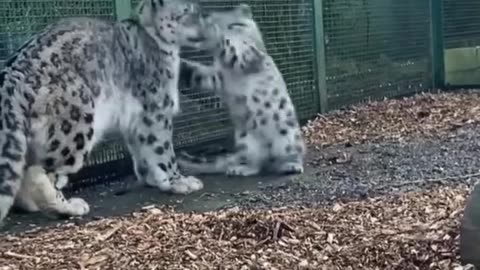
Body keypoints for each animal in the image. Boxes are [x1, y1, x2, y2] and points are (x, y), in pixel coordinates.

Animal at [0, 0, 218, 224]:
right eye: (187, 12)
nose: (208, 28)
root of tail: (12, 75)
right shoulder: (156, 110)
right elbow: (162, 148)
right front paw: (177, 181)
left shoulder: (136, 121)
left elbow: (142, 150)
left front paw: (150, 177)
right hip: (75, 126)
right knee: (41, 171)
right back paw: (69, 207)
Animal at [175, 4, 304, 177]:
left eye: (235, 24)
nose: (205, 16)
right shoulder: (216, 77)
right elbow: (195, 72)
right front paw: (179, 63)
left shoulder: (246, 58)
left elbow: (229, 48)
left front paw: (211, 31)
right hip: (246, 143)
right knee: (256, 164)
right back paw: (241, 169)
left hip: (289, 139)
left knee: (291, 155)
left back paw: (291, 165)